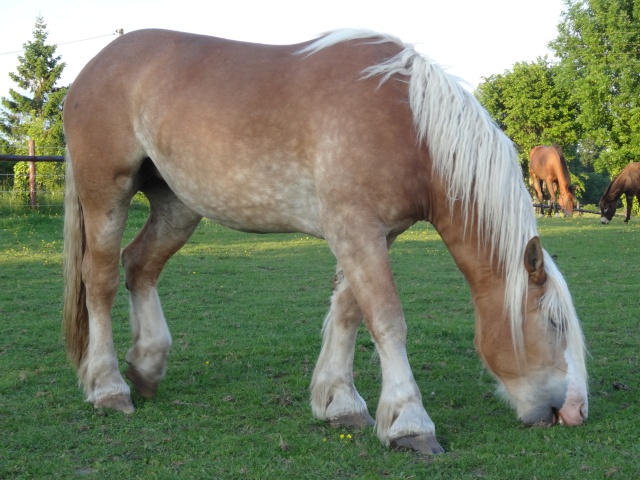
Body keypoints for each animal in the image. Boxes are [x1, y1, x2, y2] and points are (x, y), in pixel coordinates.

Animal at [62, 28, 588, 456]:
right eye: (554, 324)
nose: (577, 412)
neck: (408, 122)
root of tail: (93, 68)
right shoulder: (356, 229)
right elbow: (387, 320)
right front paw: (409, 422)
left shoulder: (374, 234)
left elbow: (349, 312)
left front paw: (339, 401)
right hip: (106, 194)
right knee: (102, 280)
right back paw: (109, 388)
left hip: (176, 206)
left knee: (139, 266)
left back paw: (147, 368)